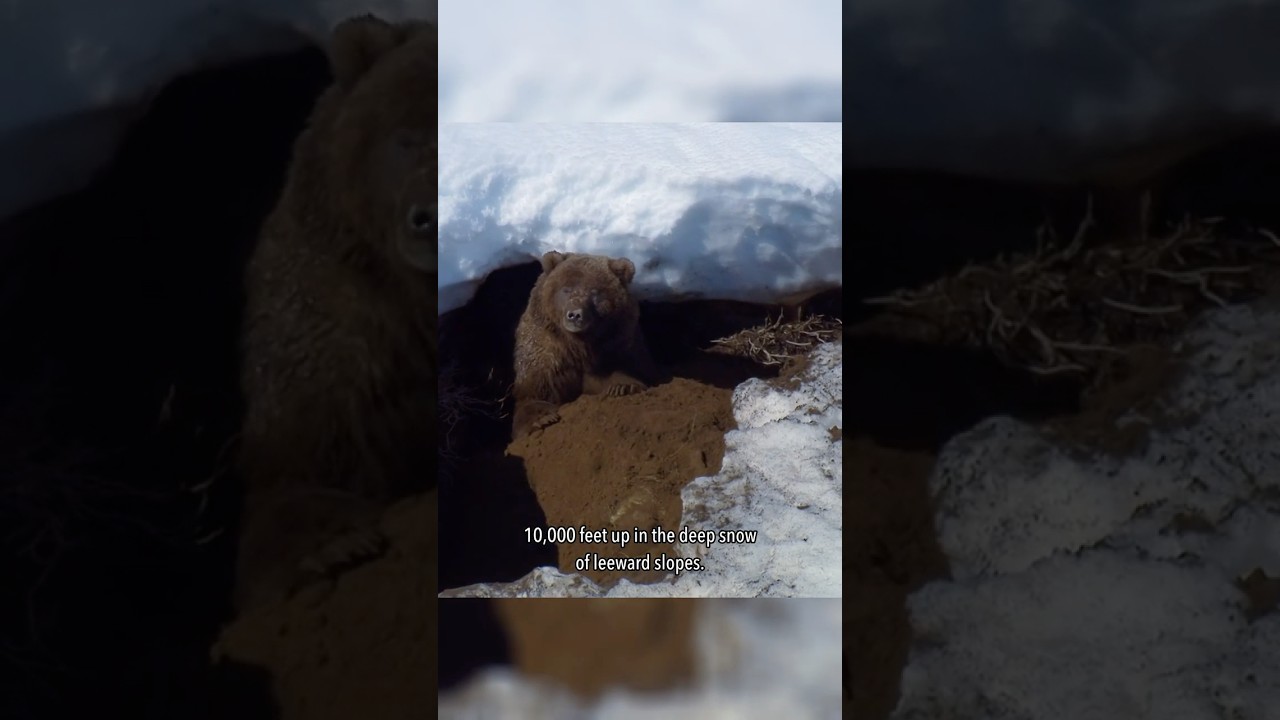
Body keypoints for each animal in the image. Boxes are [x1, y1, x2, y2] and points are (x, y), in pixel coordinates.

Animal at [511, 251, 658, 440]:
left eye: (595, 292)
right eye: (566, 289)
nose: (574, 314)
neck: (578, 345)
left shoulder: (618, 342)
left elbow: (627, 371)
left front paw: (623, 387)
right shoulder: (546, 350)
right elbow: (534, 391)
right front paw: (543, 418)